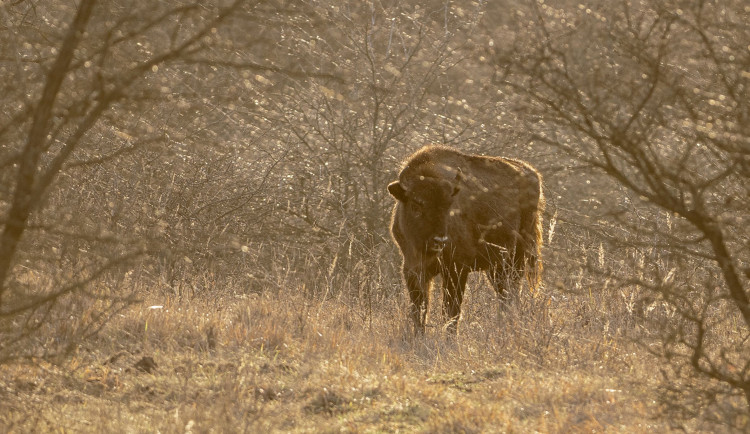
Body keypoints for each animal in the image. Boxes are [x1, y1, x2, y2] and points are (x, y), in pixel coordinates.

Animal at [390, 145, 544, 332]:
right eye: (416, 206)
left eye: (448, 206)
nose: (439, 240)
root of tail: (532, 174)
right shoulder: (413, 270)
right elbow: (419, 311)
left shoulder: (457, 269)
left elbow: (451, 312)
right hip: (496, 266)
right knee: (505, 295)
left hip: (516, 260)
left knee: (510, 295)